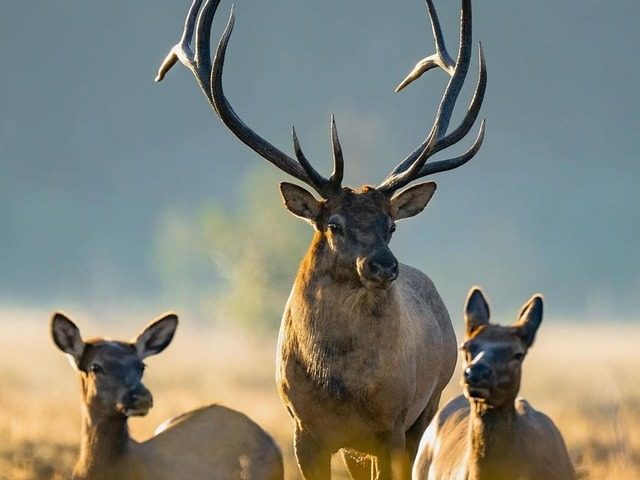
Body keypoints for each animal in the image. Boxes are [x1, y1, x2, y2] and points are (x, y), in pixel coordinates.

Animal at [156, 0, 486, 477]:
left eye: (391, 225)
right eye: (334, 224)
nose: (383, 265)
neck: (340, 389)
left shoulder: (392, 427)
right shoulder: (304, 430)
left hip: (426, 407)